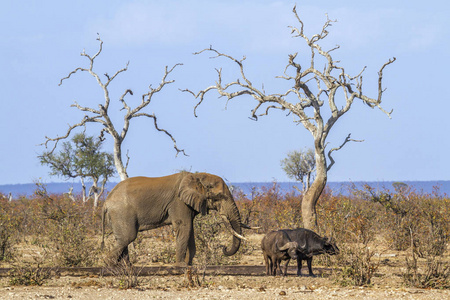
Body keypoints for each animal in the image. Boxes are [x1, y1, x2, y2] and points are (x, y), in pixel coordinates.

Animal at [101, 172, 246, 266]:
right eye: (220, 197)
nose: (224, 248)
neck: (197, 175)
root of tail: (106, 202)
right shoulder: (178, 202)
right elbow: (184, 227)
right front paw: (181, 266)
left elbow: (190, 230)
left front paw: (189, 265)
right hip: (121, 213)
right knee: (128, 237)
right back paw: (110, 265)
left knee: (123, 239)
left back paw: (125, 267)